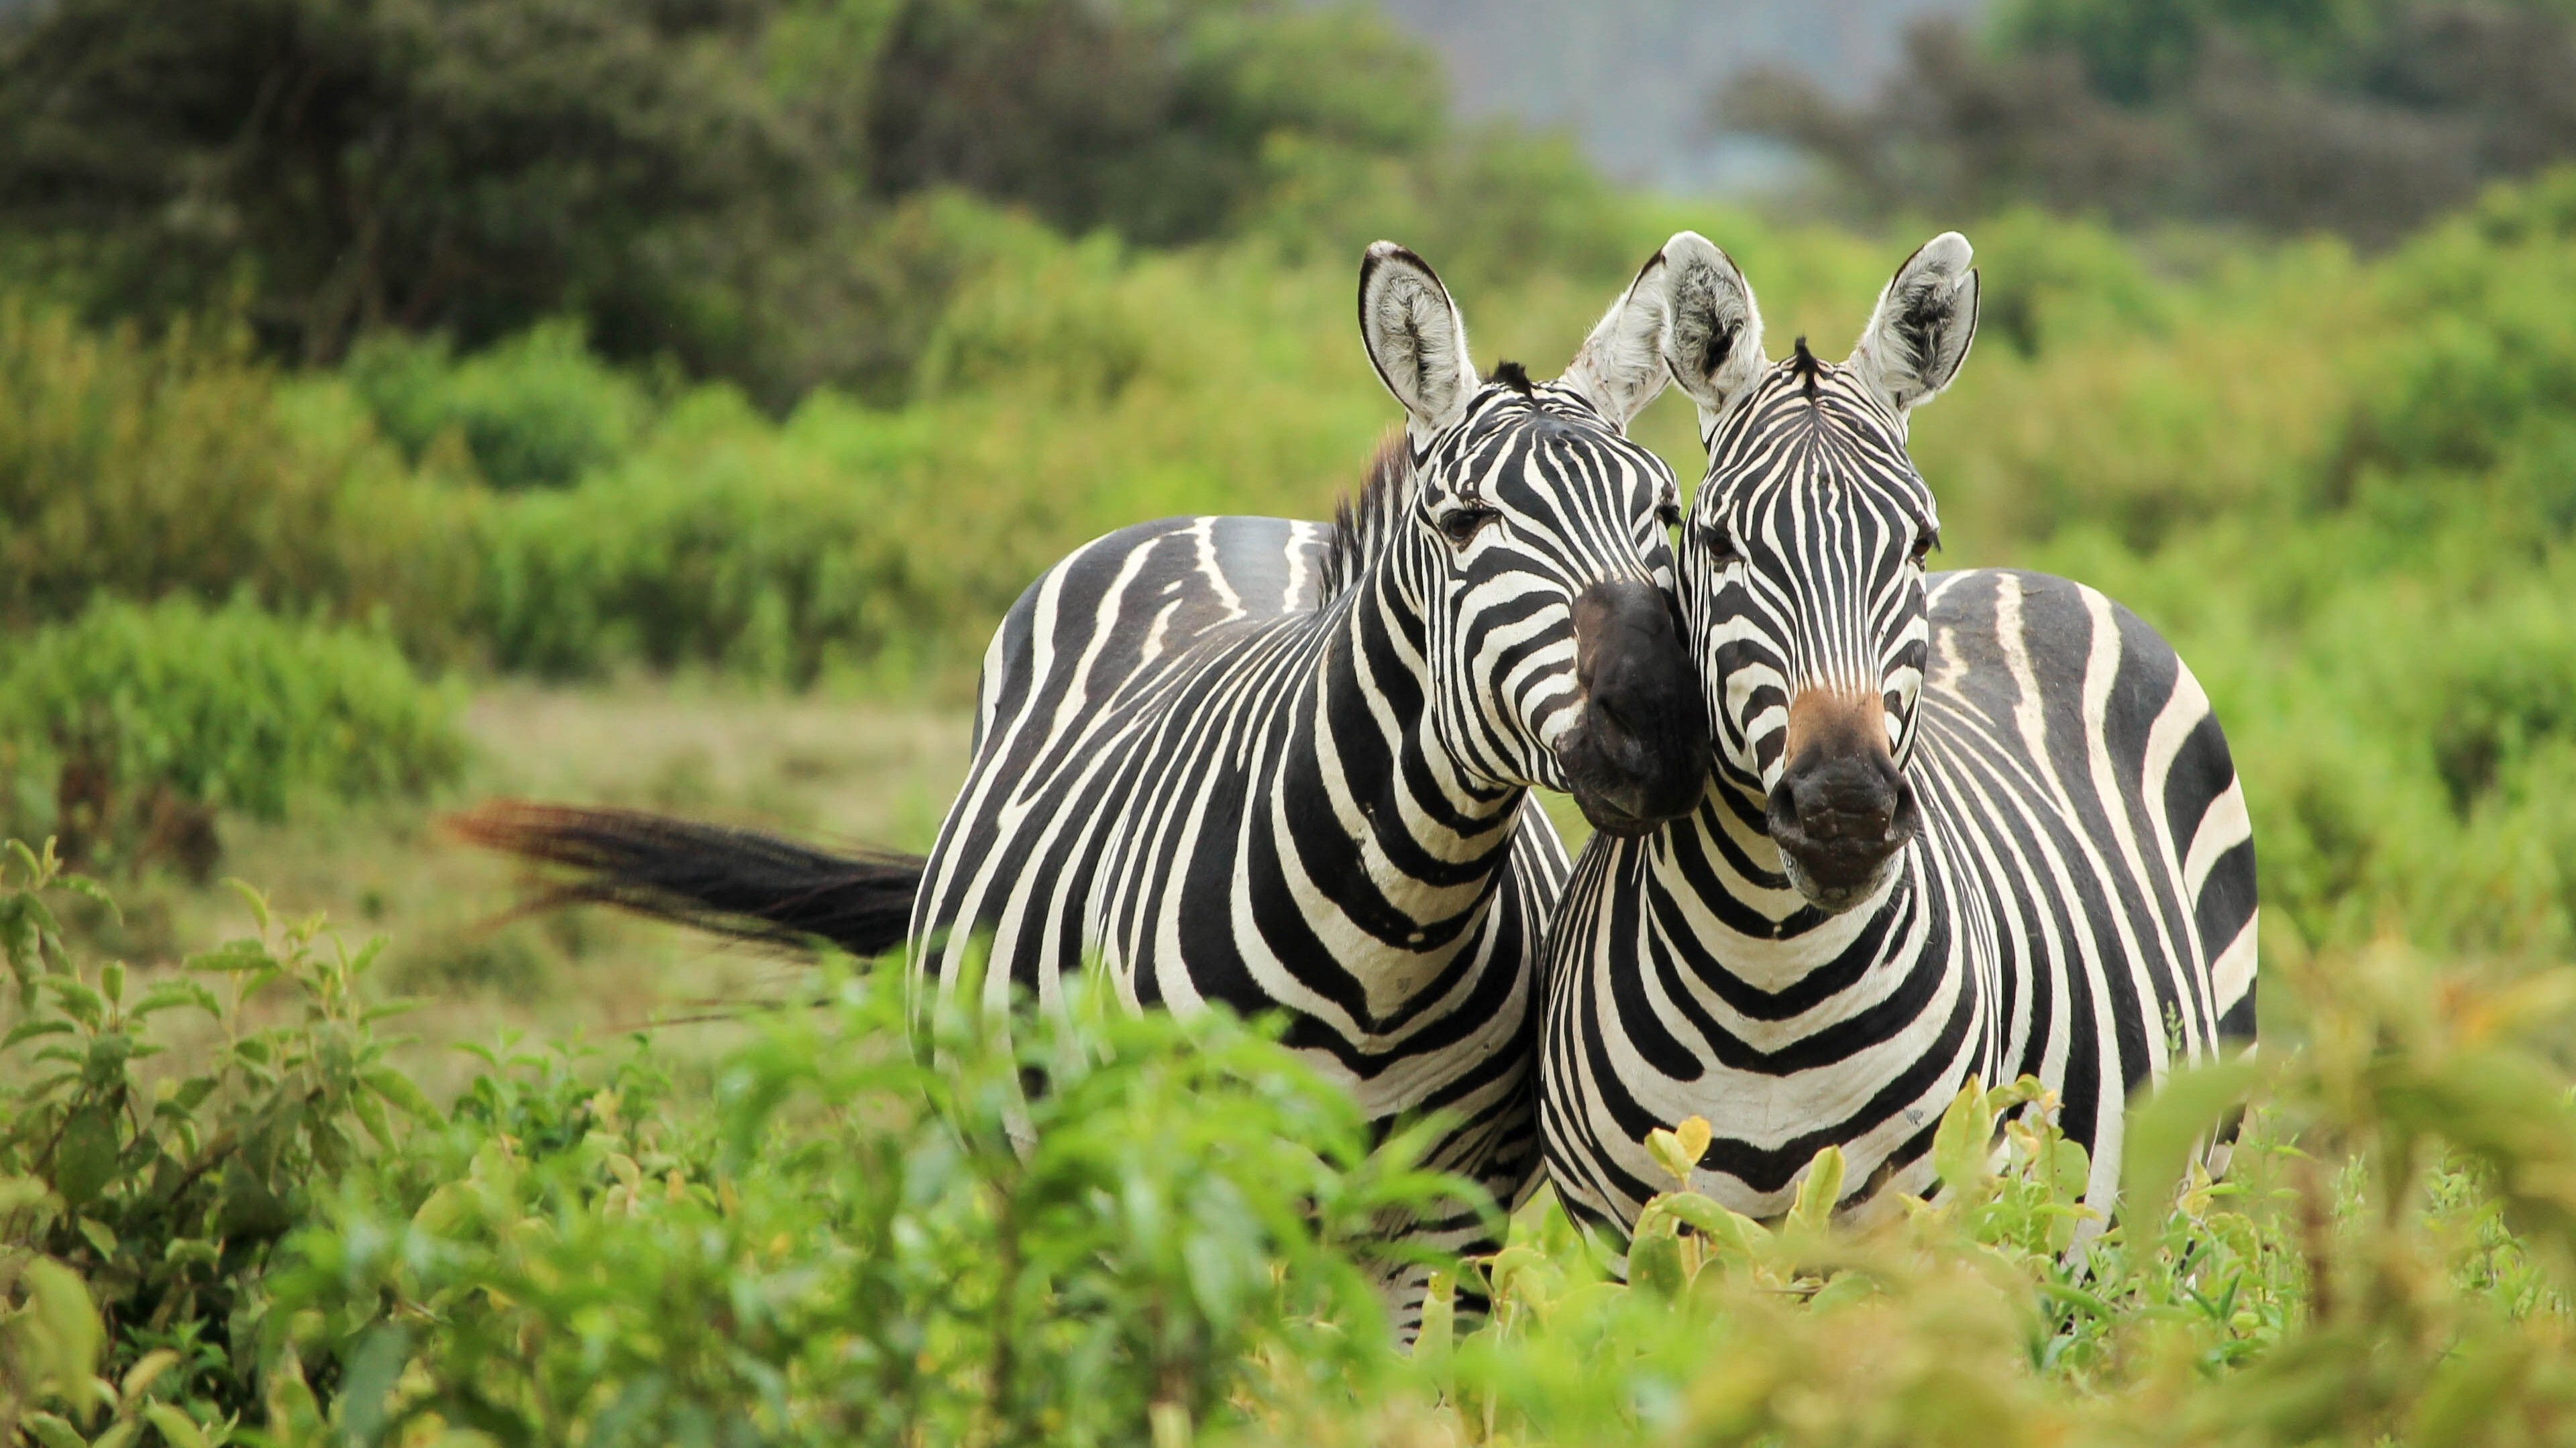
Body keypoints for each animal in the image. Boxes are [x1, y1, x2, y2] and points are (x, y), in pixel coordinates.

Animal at [460, 238, 1714, 1320]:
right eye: (1464, 522)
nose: (1659, 726)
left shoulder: (1442, 1223)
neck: (1390, 934)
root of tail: (1222, 516)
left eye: (1664, 512)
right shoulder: (1176, 1188)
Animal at [1537, 232, 2259, 1242]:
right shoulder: (1627, 1238)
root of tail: (2027, 574)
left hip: (2195, 1177)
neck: (1767, 980)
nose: (1844, 810)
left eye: (1918, 543)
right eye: (1716, 541)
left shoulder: (1919, 1229)